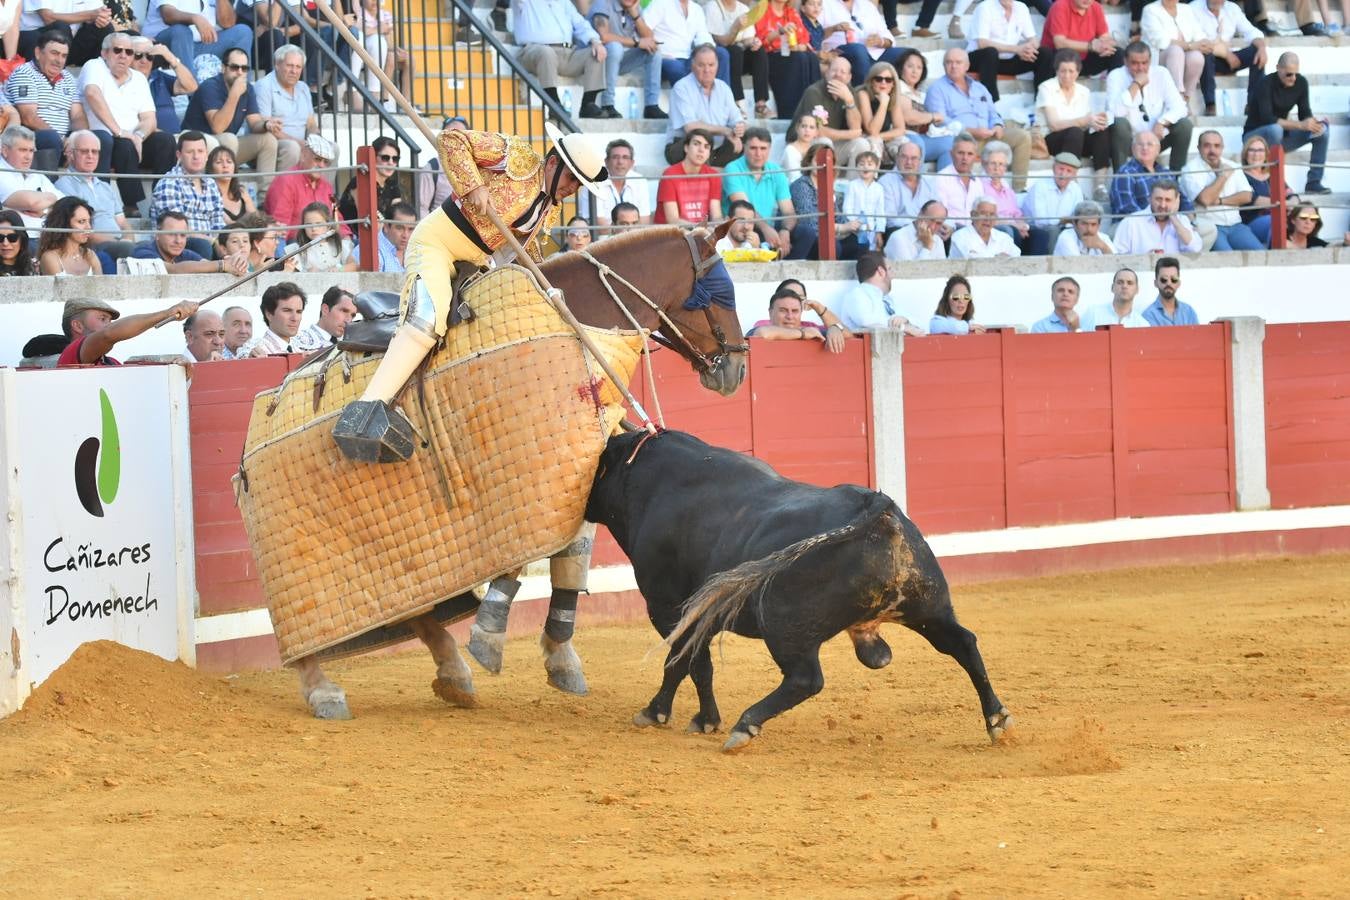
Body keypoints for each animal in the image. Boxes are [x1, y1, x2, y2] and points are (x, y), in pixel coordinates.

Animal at [294, 221, 750, 723]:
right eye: (721, 295)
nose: (736, 369)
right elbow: (528, 549)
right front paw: (490, 636)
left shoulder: (585, 468)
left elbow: (574, 551)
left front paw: (560, 656)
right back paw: (323, 690)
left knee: (413, 610)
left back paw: (453, 674)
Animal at [583, 429, 1015, 755]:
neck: (649, 481)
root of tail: (877, 508)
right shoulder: (701, 614)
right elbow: (694, 663)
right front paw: (702, 718)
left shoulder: (667, 607)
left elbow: (683, 661)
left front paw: (664, 714)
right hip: (928, 606)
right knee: (963, 643)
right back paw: (997, 719)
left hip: (784, 626)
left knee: (806, 679)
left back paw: (745, 725)